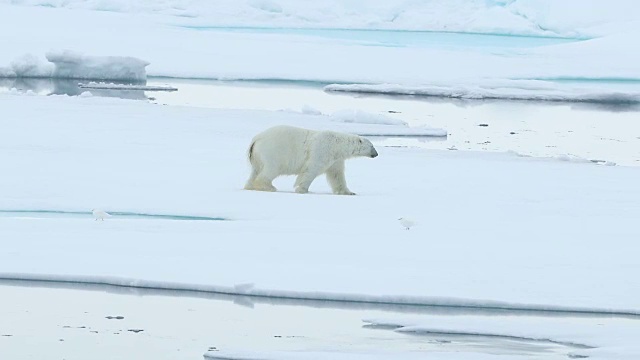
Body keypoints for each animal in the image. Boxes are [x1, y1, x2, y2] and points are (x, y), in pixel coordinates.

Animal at [242, 125, 378, 195]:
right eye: (372, 146)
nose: (376, 154)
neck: (337, 145)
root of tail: (256, 139)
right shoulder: (321, 150)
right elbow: (311, 169)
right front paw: (302, 189)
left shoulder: (336, 159)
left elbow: (336, 175)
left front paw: (348, 192)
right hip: (273, 151)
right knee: (271, 169)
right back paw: (268, 187)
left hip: (257, 156)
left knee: (255, 170)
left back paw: (250, 186)